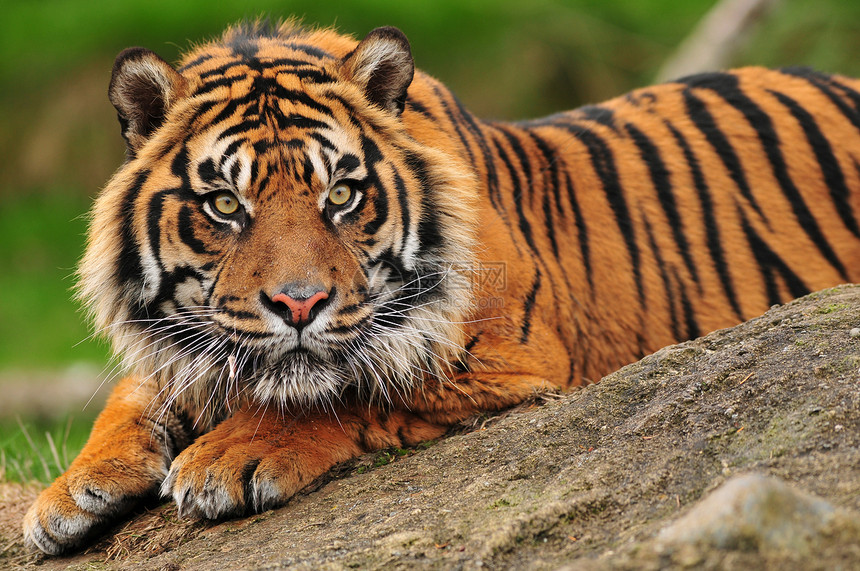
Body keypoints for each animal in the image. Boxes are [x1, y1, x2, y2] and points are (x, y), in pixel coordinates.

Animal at [20, 19, 860, 556]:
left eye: (342, 195)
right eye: (226, 204)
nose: (298, 305)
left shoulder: (506, 356)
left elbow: (349, 387)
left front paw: (230, 456)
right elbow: (138, 389)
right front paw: (69, 492)